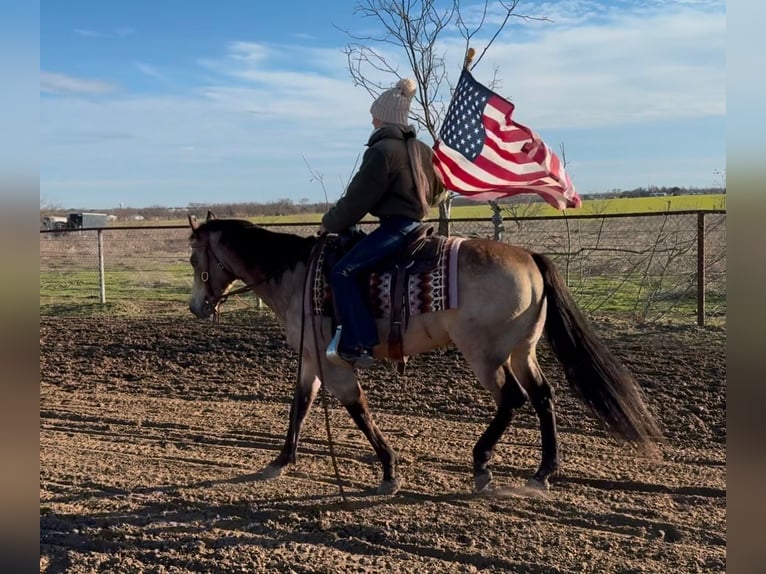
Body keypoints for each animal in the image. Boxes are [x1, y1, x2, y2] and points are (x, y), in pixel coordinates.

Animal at [189, 214, 664, 498]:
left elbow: (358, 410)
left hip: (485, 355)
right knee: (543, 396)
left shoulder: (334, 362)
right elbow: (300, 404)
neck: (300, 275)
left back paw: (482, 463)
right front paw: (280, 460)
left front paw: (389, 470)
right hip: (520, 351)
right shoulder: (311, 359)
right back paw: (543, 471)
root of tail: (528, 256)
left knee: (511, 399)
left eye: (194, 258)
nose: (197, 307)